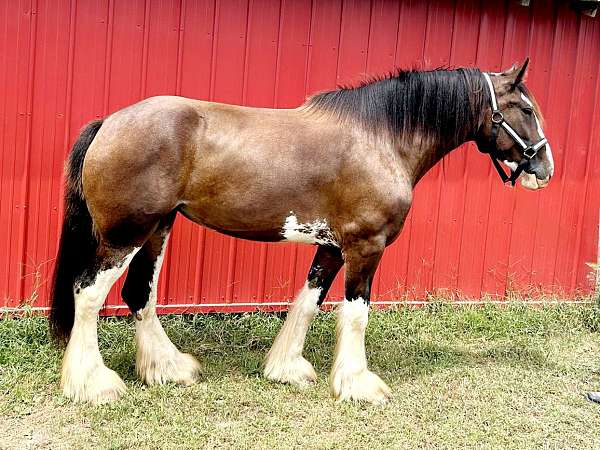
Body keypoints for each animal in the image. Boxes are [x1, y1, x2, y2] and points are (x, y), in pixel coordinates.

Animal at [48, 58, 552, 406]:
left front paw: (286, 368)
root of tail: (109, 122)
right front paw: (358, 384)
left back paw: (168, 369)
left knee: (139, 294)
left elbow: (308, 303)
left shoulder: (331, 246)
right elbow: (356, 314)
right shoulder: (365, 246)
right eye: (525, 109)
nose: (544, 169)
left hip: (156, 228)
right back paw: (92, 384)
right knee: (87, 293)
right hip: (125, 236)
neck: (380, 138)